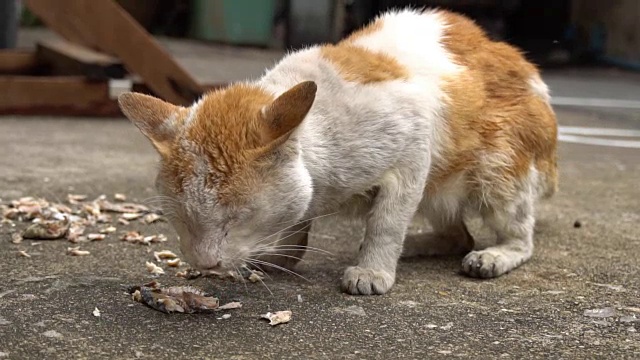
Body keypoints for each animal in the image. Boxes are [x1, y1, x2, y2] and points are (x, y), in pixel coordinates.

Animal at [117, 8, 556, 296]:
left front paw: (373, 270)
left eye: (237, 219)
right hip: (439, 191)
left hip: (499, 169)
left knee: (517, 236)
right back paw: (416, 245)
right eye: (180, 219)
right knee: (456, 235)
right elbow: (299, 218)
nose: (205, 264)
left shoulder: (412, 153)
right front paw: (283, 255)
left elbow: (386, 223)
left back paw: (491, 254)